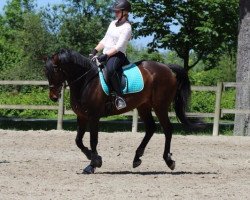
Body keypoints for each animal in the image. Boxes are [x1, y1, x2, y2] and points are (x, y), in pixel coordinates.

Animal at [44, 48, 201, 173]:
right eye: (46, 72)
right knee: (151, 128)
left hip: (160, 106)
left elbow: (93, 140)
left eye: (56, 69)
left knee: (167, 129)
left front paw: (93, 164)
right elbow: (78, 140)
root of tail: (167, 68)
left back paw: (169, 161)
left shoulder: (94, 117)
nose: (53, 97)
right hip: (143, 106)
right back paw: (137, 158)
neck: (86, 81)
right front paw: (93, 157)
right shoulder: (82, 117)